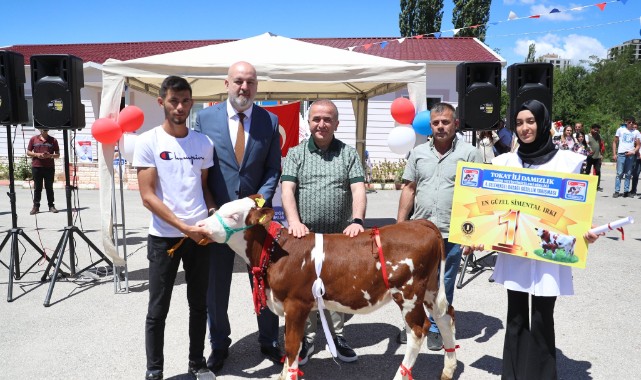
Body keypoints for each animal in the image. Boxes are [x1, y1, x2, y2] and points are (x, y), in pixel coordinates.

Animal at [199, 196, 456, 380]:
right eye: (218, 208)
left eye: (233, 216)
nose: (201, 225)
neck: (274, 250)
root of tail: (422, 223)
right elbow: (291, 347)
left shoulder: (296, 304)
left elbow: (291, 346)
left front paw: (287, 375)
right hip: (431, 288)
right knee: (445, 316)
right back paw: (448, 370)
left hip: (408, 293)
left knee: (418, 329)